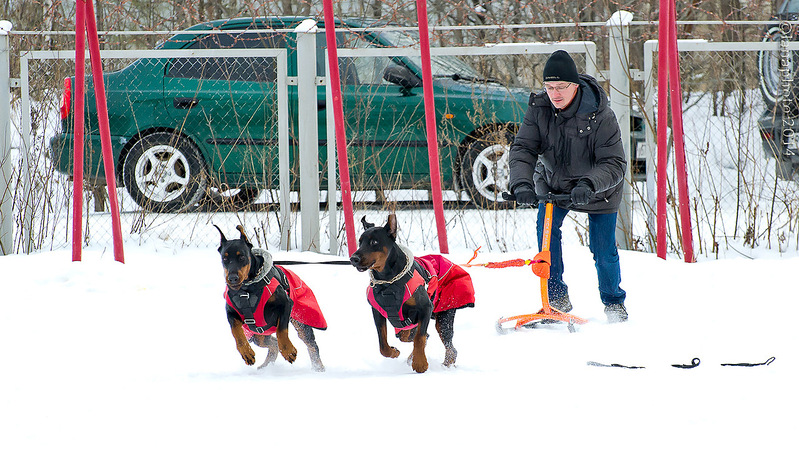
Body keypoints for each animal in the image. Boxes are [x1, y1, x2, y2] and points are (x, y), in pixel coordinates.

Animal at [217, 226, 326, 370]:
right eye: (224, 258)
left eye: (242, 257)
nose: (232, 278)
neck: (247, 290)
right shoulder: (231, 312)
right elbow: (236, 332)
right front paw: (246, 353)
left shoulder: (286, 304)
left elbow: (281, 329)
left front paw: (288, 350)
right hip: (257, 334)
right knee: (272, 343)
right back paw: (265, 366)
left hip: (301, 319)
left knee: (311, 344)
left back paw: (318, 368)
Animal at [350, 214, 476, 372]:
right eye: (360, 242)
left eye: (374, 242)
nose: (353, 258)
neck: (388, 282)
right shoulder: (377, 310)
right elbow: (383, 343)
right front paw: (394, 352)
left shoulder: (426, 307)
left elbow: (419, 337)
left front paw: (420, 363)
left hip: (444, 316)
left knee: (450, 348)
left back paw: (442, 365)